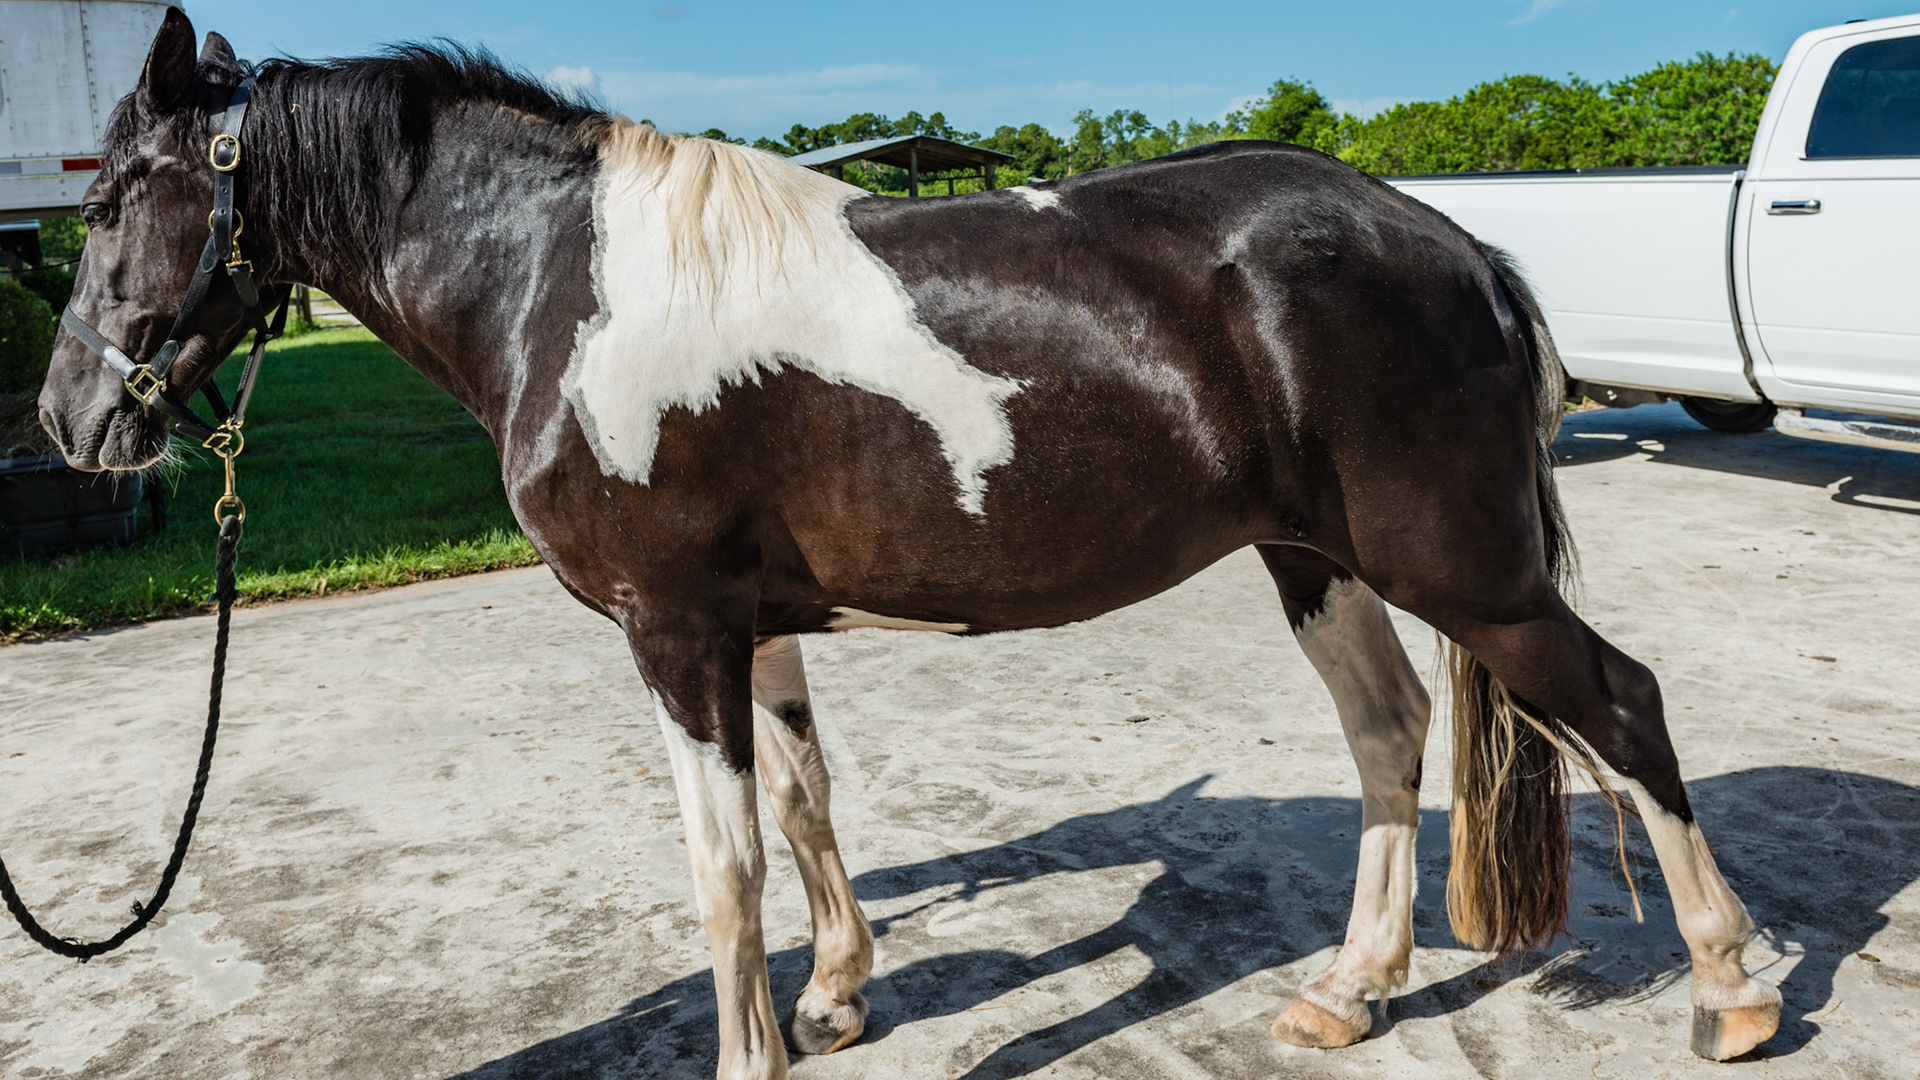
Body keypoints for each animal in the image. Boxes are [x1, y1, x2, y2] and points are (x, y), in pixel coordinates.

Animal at [36, 10, 1781, 1076]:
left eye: (120, 197)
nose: (72, 420)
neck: (560, 281)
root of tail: (1456, 241)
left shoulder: (676, 631)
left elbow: (724, 862)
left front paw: (755, 1046)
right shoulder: (758, 627)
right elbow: (807, 809)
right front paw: (838, 993)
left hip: (1463, 570)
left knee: (1621, 709)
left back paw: (1732, 989)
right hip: (1316, 560)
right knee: (1389, 733)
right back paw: (1351, 992)